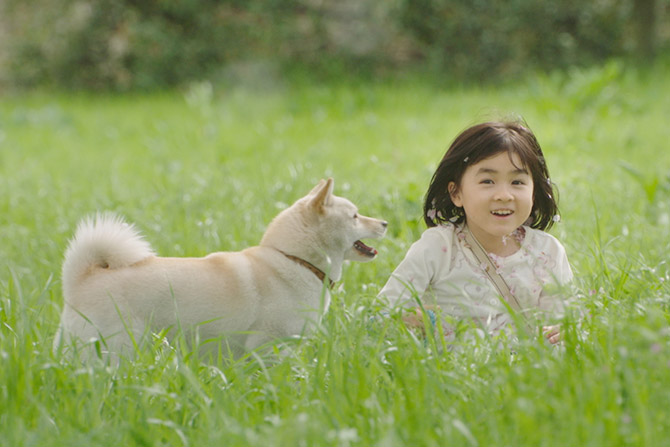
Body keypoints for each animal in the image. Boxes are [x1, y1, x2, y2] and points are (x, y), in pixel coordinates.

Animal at [56, 178, 388, 360]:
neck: (294, 259)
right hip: (115, 351)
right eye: (356, 216)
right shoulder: (268, 349)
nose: (385, 223)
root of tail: (82, 279)